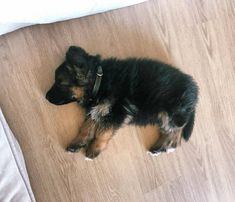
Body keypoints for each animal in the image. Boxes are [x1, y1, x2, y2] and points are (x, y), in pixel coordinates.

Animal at [45, 46, 198, 159]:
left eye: (60, 83)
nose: (46, 97)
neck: (99, 81)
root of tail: (194, 91)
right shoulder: (96, 110)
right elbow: (85, 128)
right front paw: (77, 143)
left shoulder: (117, 112)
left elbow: (103, 133)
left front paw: (94, 149)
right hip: (164, 115)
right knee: (169, 130)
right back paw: (158, 148)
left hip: (171, 112)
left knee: (177, 130)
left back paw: (168, 147)